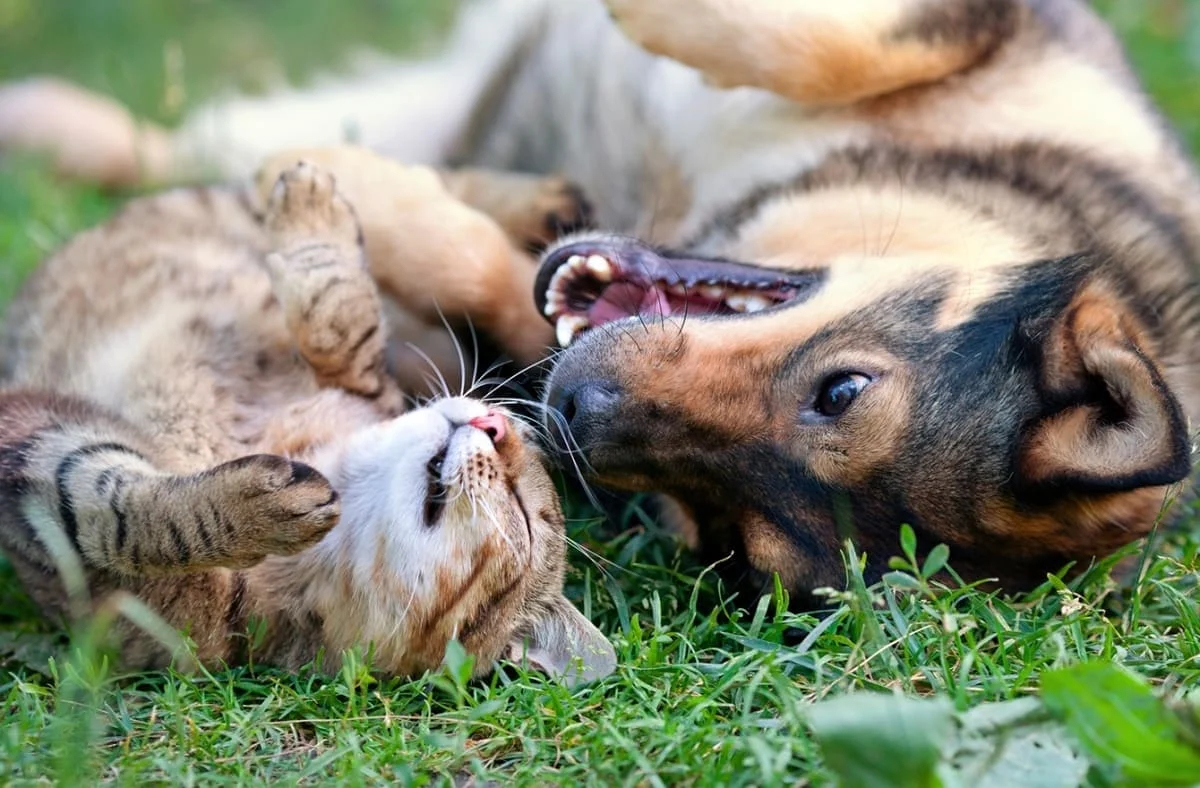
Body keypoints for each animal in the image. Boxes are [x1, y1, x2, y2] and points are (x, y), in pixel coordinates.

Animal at [2, 0, 1200, 602]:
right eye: (843, 388)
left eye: (730, 533)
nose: (572, 415)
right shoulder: (996, 26)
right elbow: (828, 39)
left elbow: (489, 273)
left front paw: (373, 200)